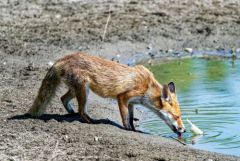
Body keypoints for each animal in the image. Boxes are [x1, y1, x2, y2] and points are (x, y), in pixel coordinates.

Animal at [28, 52, 186, 135]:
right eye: (176, 116)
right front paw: (128, 130)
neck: (147, 87)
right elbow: (125, 119)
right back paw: (92, 122)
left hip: (75, 90)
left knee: (63, 98)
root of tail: (64, 58)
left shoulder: (132, 103)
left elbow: (131, 118)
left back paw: (71, 113)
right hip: (84, 90)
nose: (183, 130)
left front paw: (135, 130)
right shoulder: (123, 97)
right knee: (81, 111)